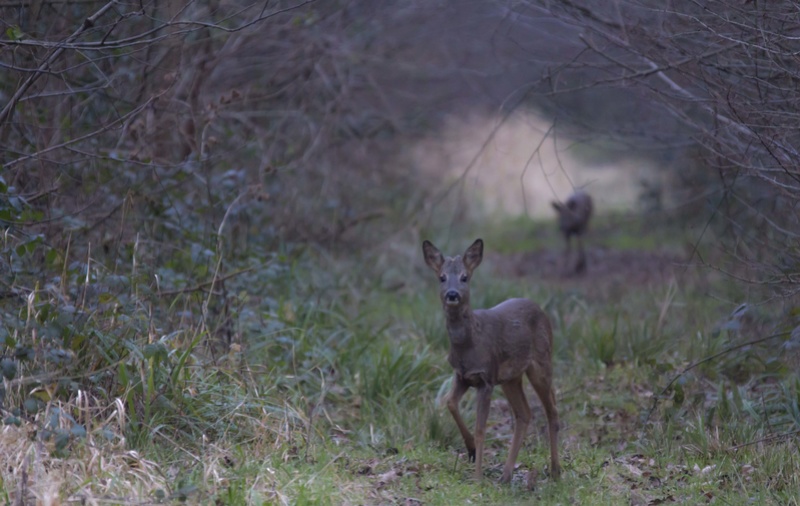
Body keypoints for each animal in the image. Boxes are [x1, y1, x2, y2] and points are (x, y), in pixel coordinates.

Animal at [422, 239, 560, 488]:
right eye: (442, 277)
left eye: (465, 277)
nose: (452, 294)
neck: (469, 344)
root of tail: (541, 310)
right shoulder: (462, 375)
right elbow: (449, 402)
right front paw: (471, 450)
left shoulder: (486, 378)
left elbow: (480, 429)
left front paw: (477, 477)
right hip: (510, 378)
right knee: (524, 413)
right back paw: (506, 475)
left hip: (541, 362)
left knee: (551, 409)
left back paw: (555, 471)